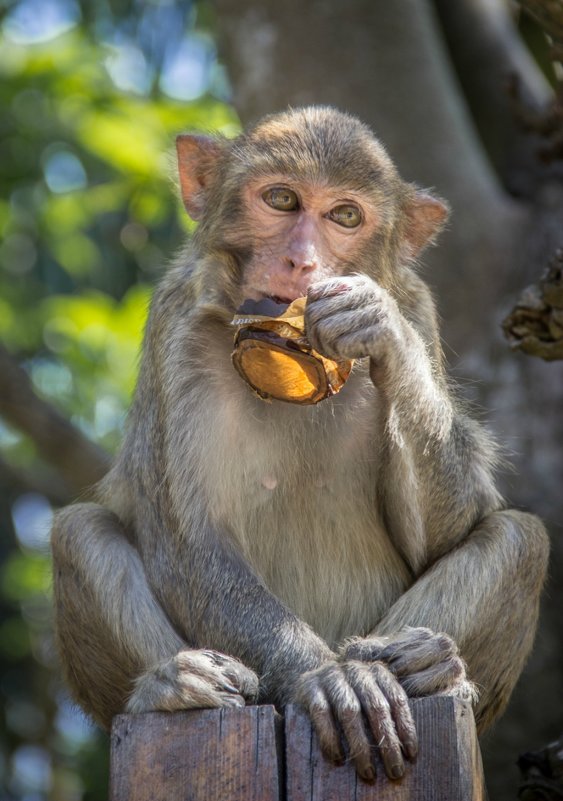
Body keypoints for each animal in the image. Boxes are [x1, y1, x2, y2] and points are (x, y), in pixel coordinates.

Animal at [50, 104, 548, 780]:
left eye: (345, 216)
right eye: (282, 199)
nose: (303, 264)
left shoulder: (418, 307)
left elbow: (448, 531)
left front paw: (375, 325)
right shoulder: (179, 315)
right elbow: (191, 542)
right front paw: (329, 677)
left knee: (521, 538)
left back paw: (432, 669)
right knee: (79, 531)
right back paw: (170, 690)